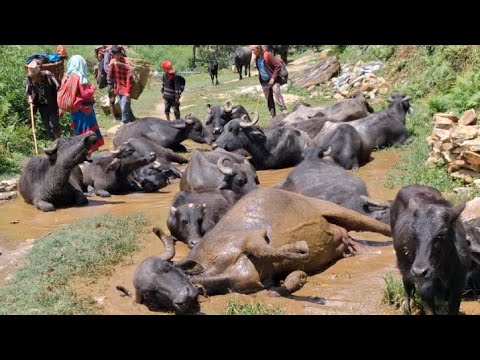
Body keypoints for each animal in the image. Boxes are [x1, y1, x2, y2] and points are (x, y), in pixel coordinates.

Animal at [390, 186, 468, 316]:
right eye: (414, 234)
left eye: (441, 234)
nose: (419, 272)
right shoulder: (424, 290)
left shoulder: (458, 287)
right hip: (404, 267)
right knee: (407, 287)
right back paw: (407, 309)